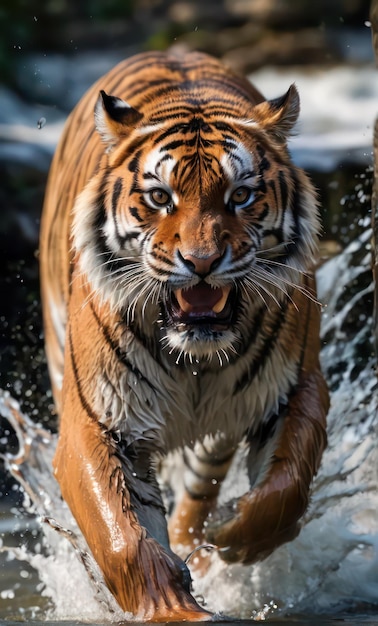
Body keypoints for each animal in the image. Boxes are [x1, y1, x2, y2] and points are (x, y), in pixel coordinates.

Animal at [40, 50, 328, 620]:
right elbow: (123, 535)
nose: (201, 262)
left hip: (214, 444)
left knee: (196, 498)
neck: (193, 359)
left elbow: (287, 486)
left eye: (241, 195)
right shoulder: (98, 420)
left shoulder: (297, 388)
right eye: (159, 197)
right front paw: (173, 609)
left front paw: (233, 538)